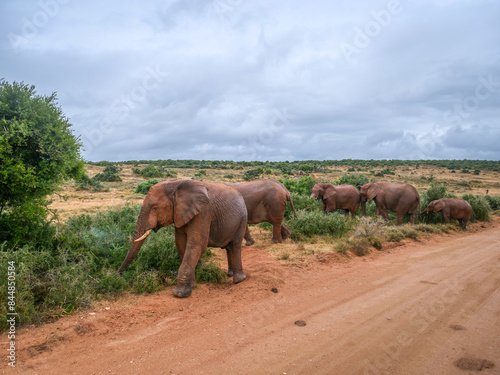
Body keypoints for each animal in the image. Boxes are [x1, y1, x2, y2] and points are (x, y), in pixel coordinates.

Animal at [117, 180, 250, 300]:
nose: (118, 275)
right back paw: (230, 275)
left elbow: (197, 245)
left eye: (154, 208)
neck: (175, 185)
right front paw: (193, 286)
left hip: (242, 217)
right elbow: (181, 244)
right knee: (229, 248)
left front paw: (180, 294)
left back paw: (239, 280)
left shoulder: (203, 213)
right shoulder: (179, 215)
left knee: (234, 245)